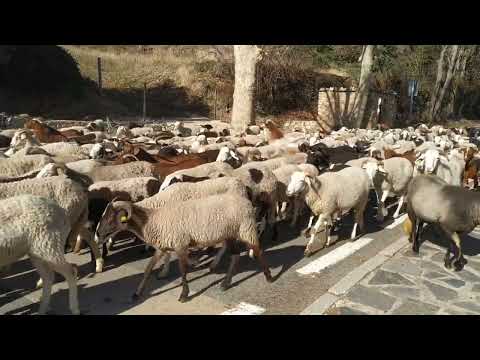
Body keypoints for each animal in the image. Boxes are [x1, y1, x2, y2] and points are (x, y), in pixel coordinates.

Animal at [94, 194, 274, 300]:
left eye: (111, 218)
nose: (97, 234)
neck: (151, 221)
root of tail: (247, 201)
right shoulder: (162, 248)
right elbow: (148, 269)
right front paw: (137, 293)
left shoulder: (180, 245)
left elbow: (182, 270)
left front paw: (184, 294)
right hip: (230, 233)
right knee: (235, 256)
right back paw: (225, 283)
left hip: (246, 228)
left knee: (258, 250)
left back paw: (269, 276)